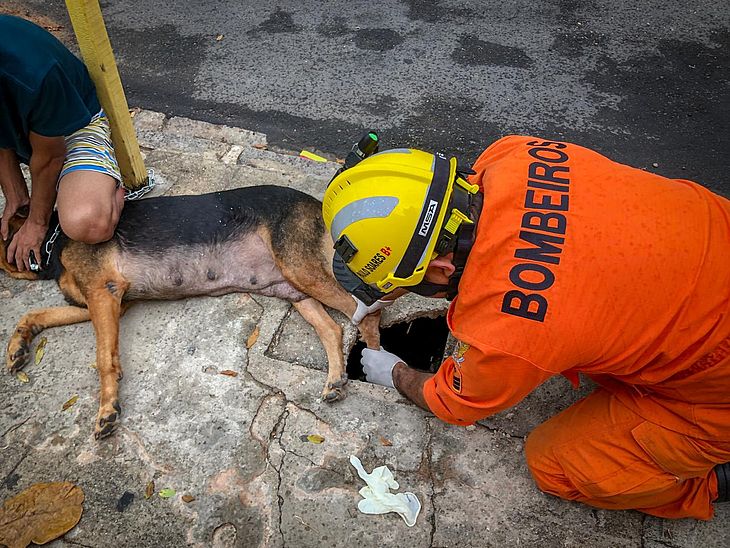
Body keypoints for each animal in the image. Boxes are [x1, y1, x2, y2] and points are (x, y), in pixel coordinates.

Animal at [2, 186, 382, 438]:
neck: (54, 242)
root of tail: (317, 204)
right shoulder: (107, 303)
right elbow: (32, 316)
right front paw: (17, 346)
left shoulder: (104, 292)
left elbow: (103, 359)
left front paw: (108, 409)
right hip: (292, 286)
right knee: (333, 328)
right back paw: (335, 380)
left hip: (302, 269)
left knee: (369, 309)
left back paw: (378, 366)